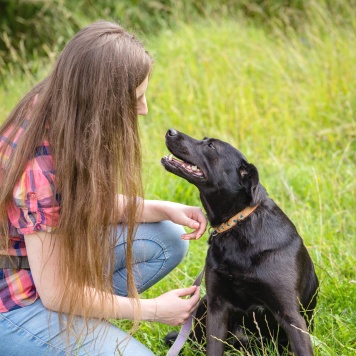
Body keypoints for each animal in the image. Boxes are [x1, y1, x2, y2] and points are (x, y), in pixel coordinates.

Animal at [161, 129, 318, 354]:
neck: (238, 223)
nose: (170, 131)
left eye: (211, 146)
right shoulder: (217, 307)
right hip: (203, 305)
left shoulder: (291, 316)